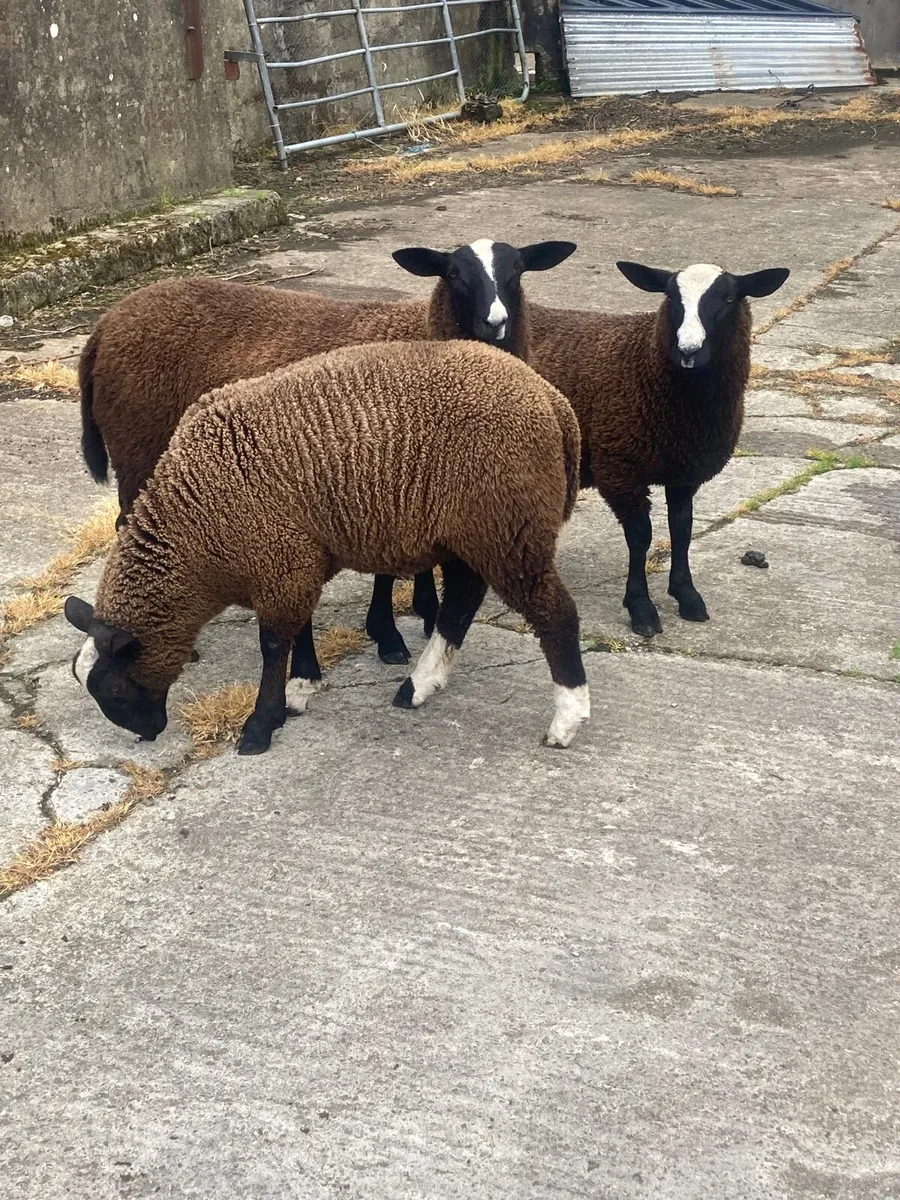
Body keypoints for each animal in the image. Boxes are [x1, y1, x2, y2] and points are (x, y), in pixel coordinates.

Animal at [65, 339, 589, 756]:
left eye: (115, 689)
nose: (147, 733)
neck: (195, 536)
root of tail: (553, 402)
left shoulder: (279, 558)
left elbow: (273, 644)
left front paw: (262, 723)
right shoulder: (295, 558)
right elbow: (300, 629)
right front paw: (302, 685)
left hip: (508, 525)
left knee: (555, 613)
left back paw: (567, 717)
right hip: (476, 530)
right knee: (463, 598)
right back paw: (420, 684)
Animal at [79, 238, 576, 666]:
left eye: (517, 271)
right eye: (454, 273)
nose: (495, 323)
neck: (420, 332)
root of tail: (105, 324)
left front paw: (422, 611)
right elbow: (385, 570)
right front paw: (388, 634)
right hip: (137, 445)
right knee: (129, 526)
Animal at [526, 260, 790, 637]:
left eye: (728, 298)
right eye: (670, 296)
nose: (688, 351)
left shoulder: (683, 472)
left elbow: (682, 528)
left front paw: (686, 595)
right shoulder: (619, 468)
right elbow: (641, 536)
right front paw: (641, 607)